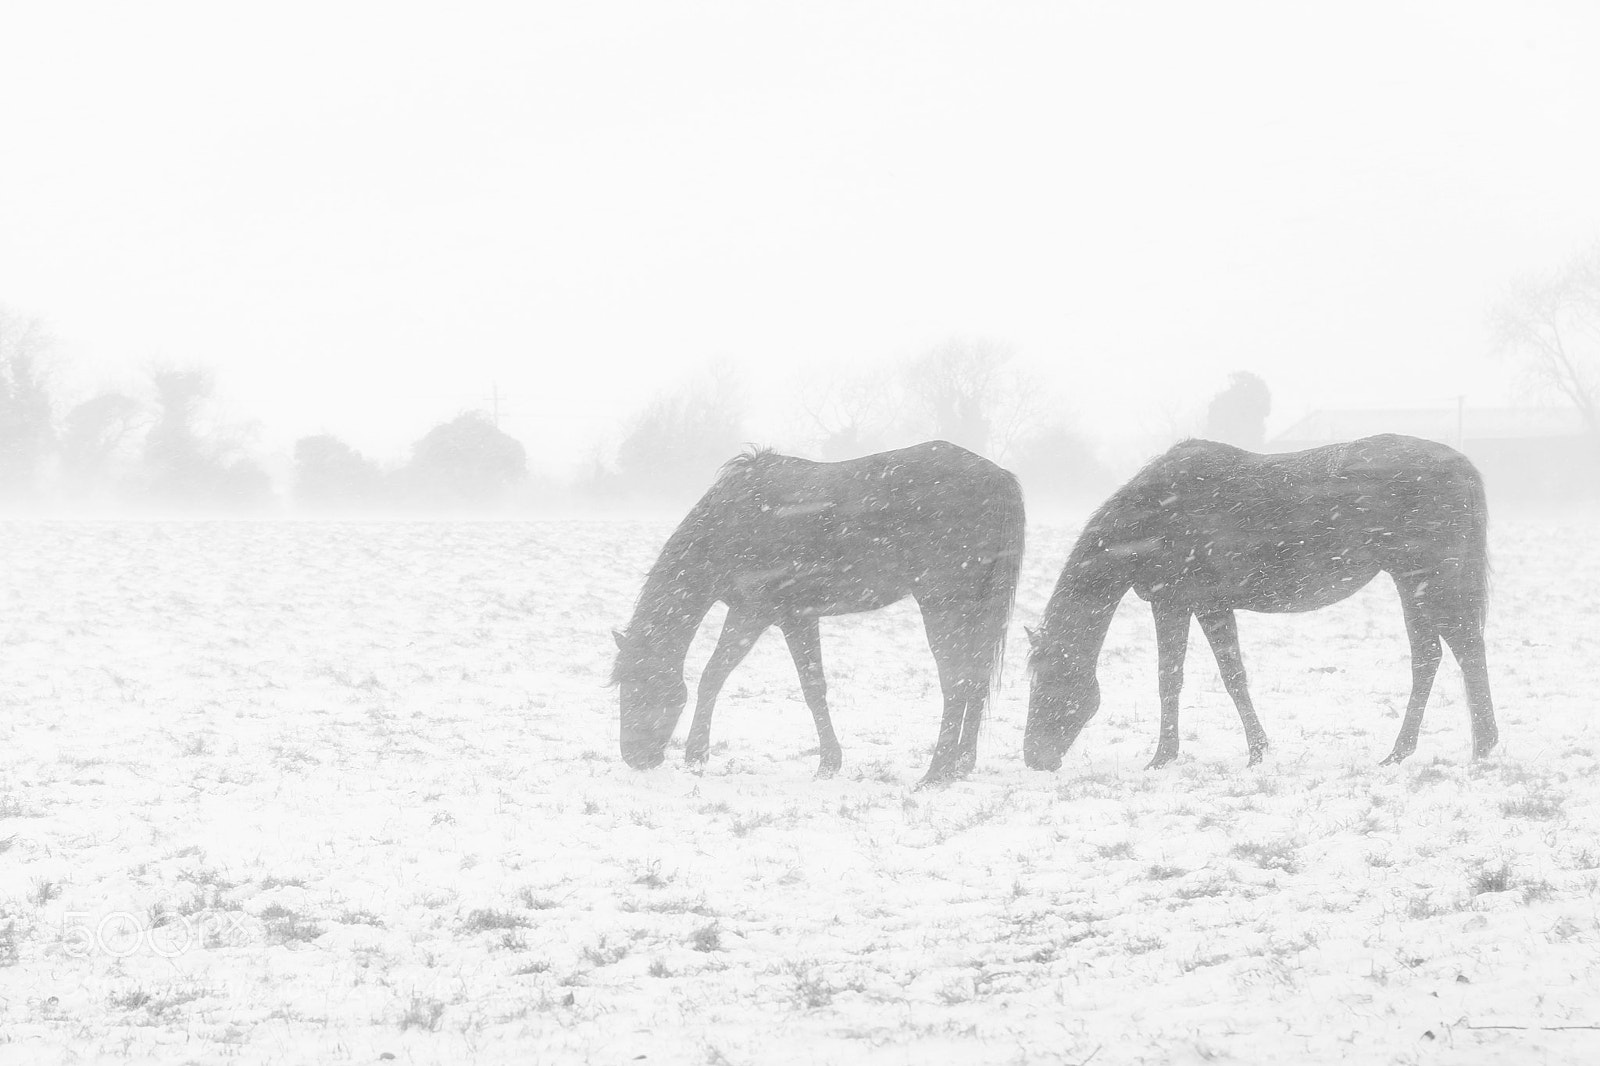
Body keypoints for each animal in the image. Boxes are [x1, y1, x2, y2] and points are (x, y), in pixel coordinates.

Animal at [611, 440, 1025, 785]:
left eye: (638, 687)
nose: (634, 758)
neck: (733, 520)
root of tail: (996, 475)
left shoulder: (759, 614)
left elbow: (721, 677)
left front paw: (697, 756)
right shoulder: (786, 616)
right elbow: (807, 685)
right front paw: (828, 762)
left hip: (943, 604)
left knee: (955, 681)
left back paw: (937, 772)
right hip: (975, 606)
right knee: (975, 677)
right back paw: (962, 764)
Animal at [1023, 434, 1497, 771]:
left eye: (1048, 682)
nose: (1032, 758)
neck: (1153, 515)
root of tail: (1462, 465)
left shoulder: (1176, 603)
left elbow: (1175, 679)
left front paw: (1164, 757)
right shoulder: (1207, 606)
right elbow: (1227, 676)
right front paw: (1254, 751)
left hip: (1430, 579)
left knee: (1466, 650)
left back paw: (1482, 749)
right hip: (1413, 583)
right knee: (1430, 657)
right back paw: (1404, 752)